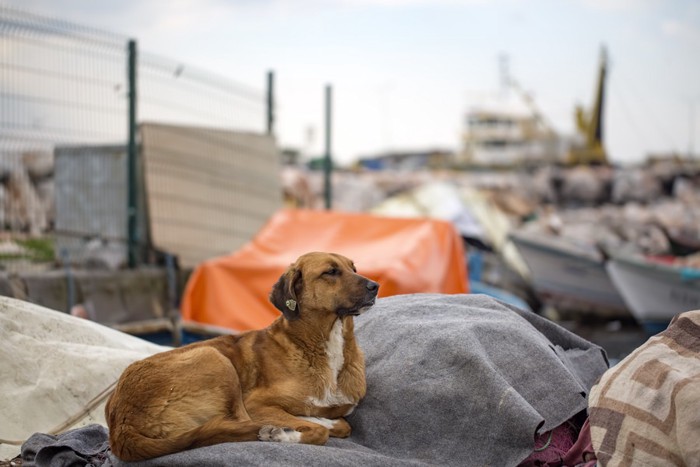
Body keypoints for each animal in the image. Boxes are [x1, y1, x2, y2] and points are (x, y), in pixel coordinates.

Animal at [105, 252, 378, 460]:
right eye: (330, 272)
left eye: (353, 268)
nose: (375, 286)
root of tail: (121, 426)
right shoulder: (256, 403)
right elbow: (319, 431)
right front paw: (284, 433)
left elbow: (340, 423)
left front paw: (306, 421)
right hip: (214, 357)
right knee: (240, 422)